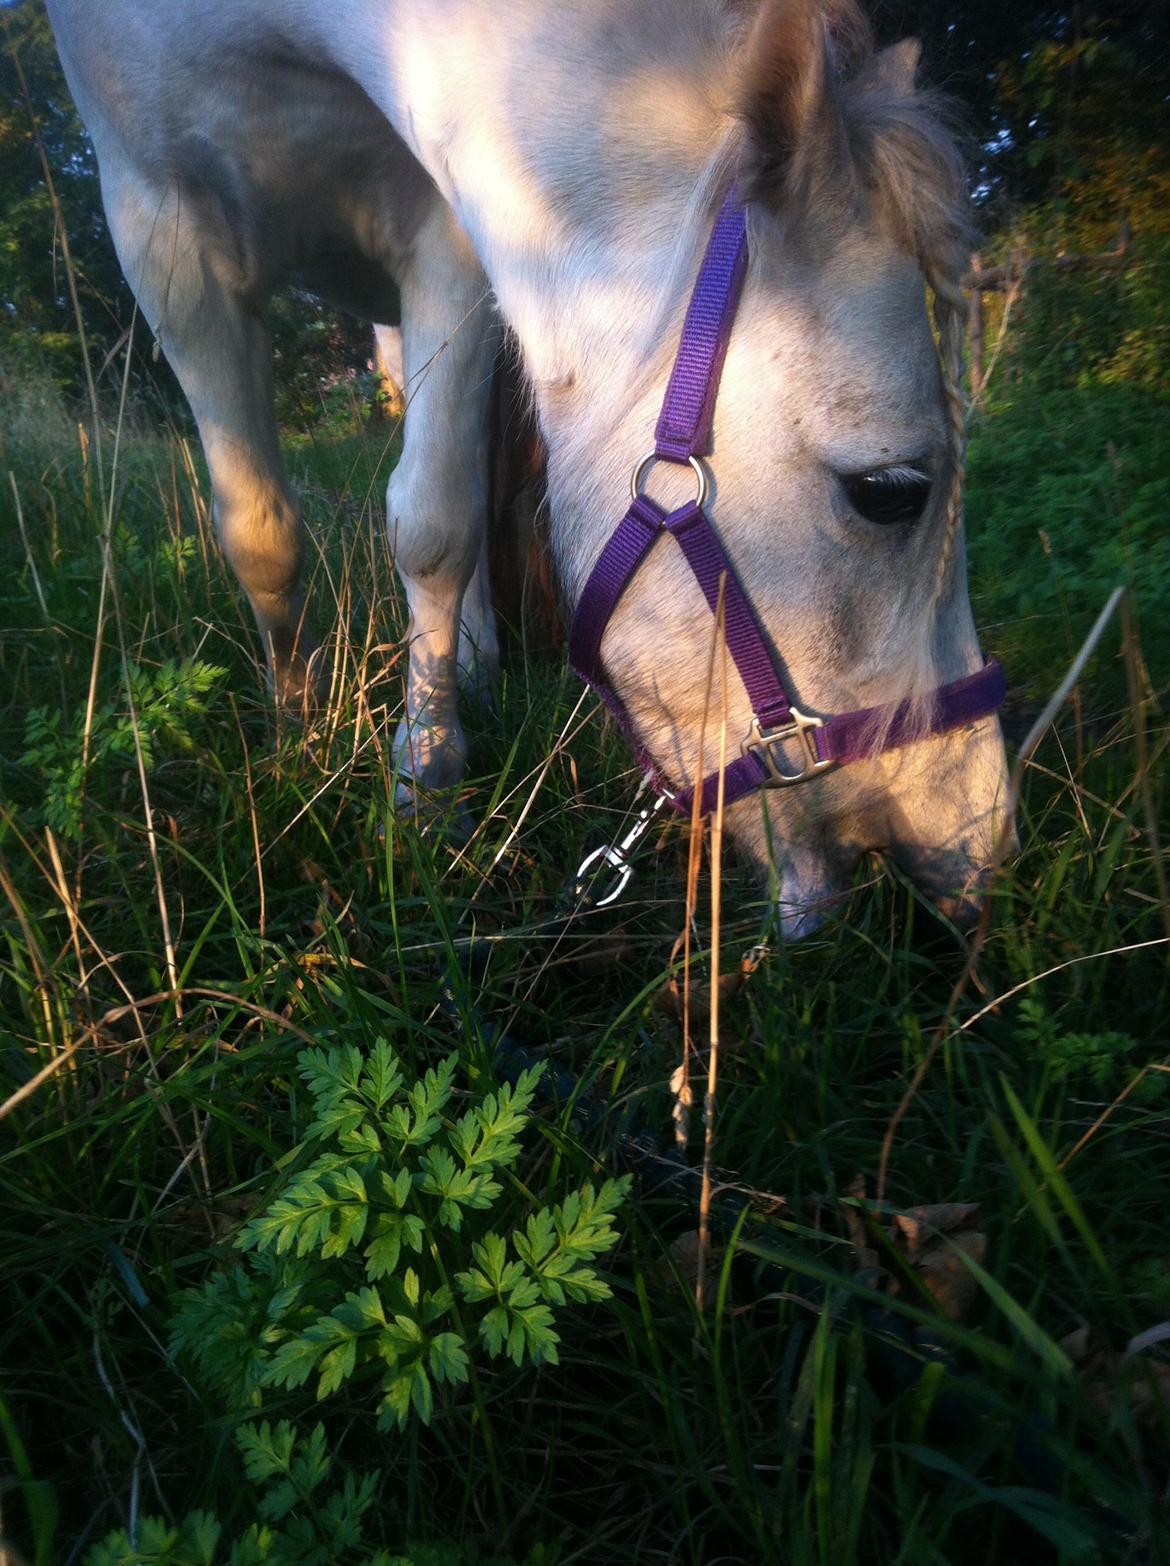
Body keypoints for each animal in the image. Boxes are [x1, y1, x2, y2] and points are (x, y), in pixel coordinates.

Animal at [50, 0, 1008, 927]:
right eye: (890, 492)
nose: (980, 851)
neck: (278, 32)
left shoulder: (447, 226)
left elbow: (435, 523)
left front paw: (426, 774)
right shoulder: (158, 225)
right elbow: (261, 534)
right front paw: (303, 730)